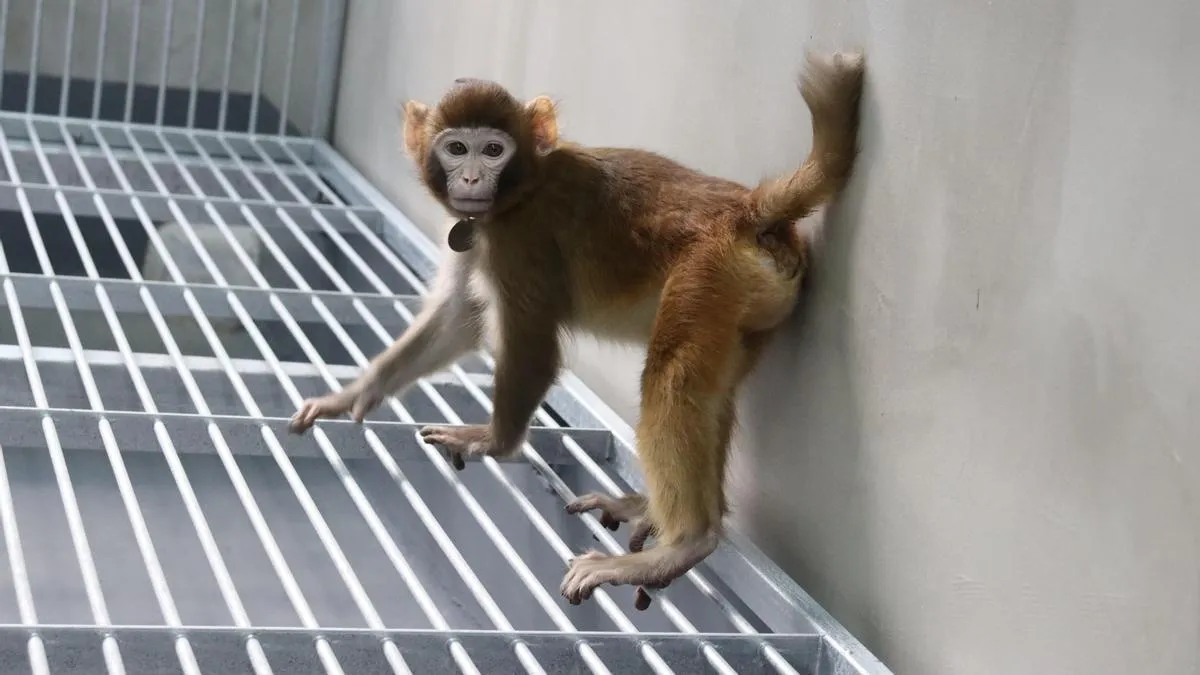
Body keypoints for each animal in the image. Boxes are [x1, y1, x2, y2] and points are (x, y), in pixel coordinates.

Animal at [288, 50, 866, 609]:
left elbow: (533, 348)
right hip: (746, 304)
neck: (523, 189)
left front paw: (495, 441)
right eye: (456, 148)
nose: (471, 179)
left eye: (492, 150)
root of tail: (747, 210)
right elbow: (457, 317)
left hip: (709, 273)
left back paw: (684, 542)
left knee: (672, 379)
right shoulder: (478, 232)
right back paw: (660, 511)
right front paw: (353, 395)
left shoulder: (521, 239)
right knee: (710, 392)